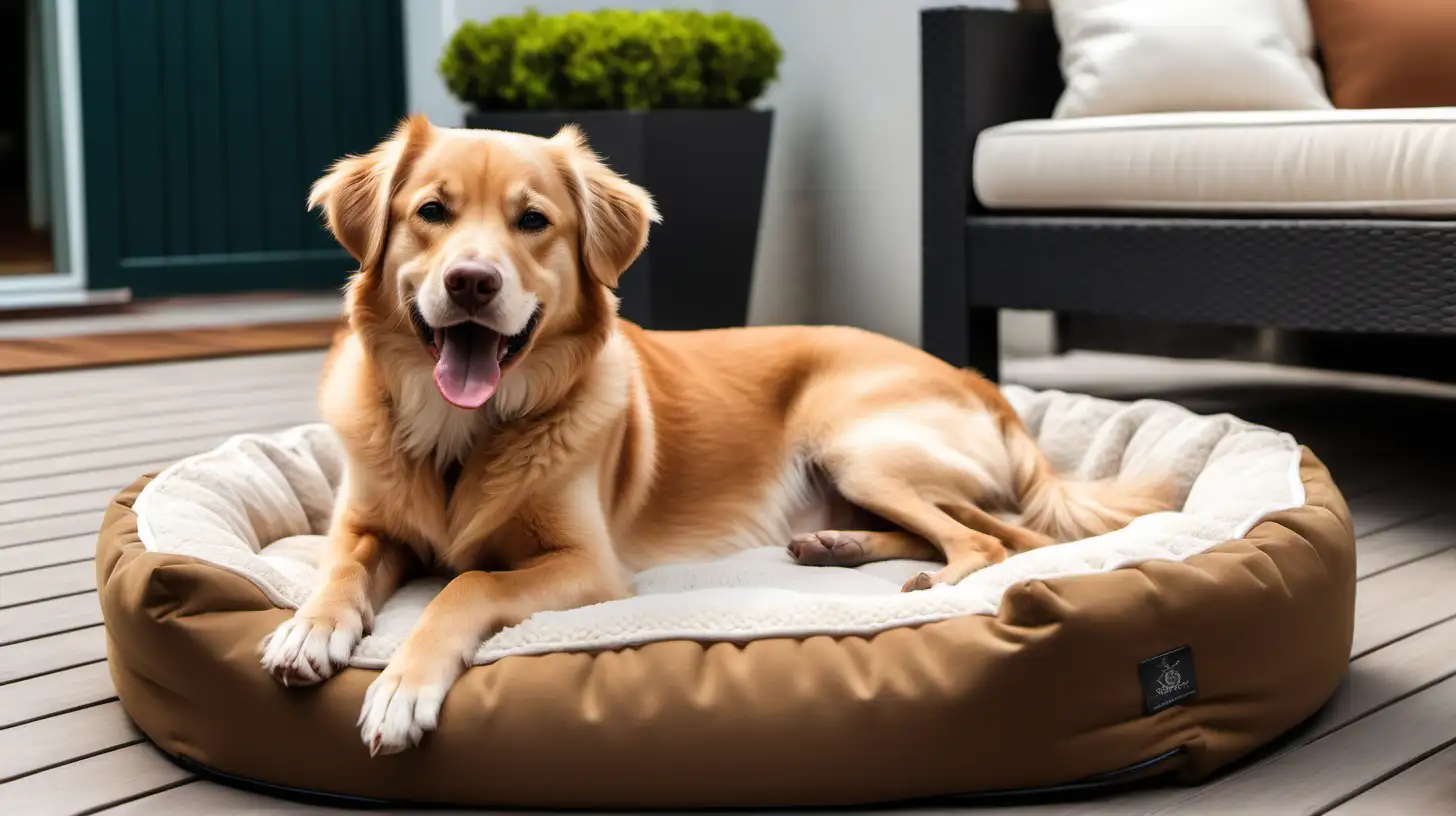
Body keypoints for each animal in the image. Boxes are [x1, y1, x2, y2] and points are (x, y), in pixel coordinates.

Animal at [259, 112, 1170, 751]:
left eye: (533, 222)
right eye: (432, 212)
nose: (472, 282)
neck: (462, 433)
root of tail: (977, 378)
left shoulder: (588, 566)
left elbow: (466, 585)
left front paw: (402, 687)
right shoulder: (364, 523)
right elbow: (340, 568)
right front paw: (310, 626)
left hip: (861, 447)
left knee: (997, 538)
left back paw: (931, 583)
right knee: (977, 532)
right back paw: (838, 545)